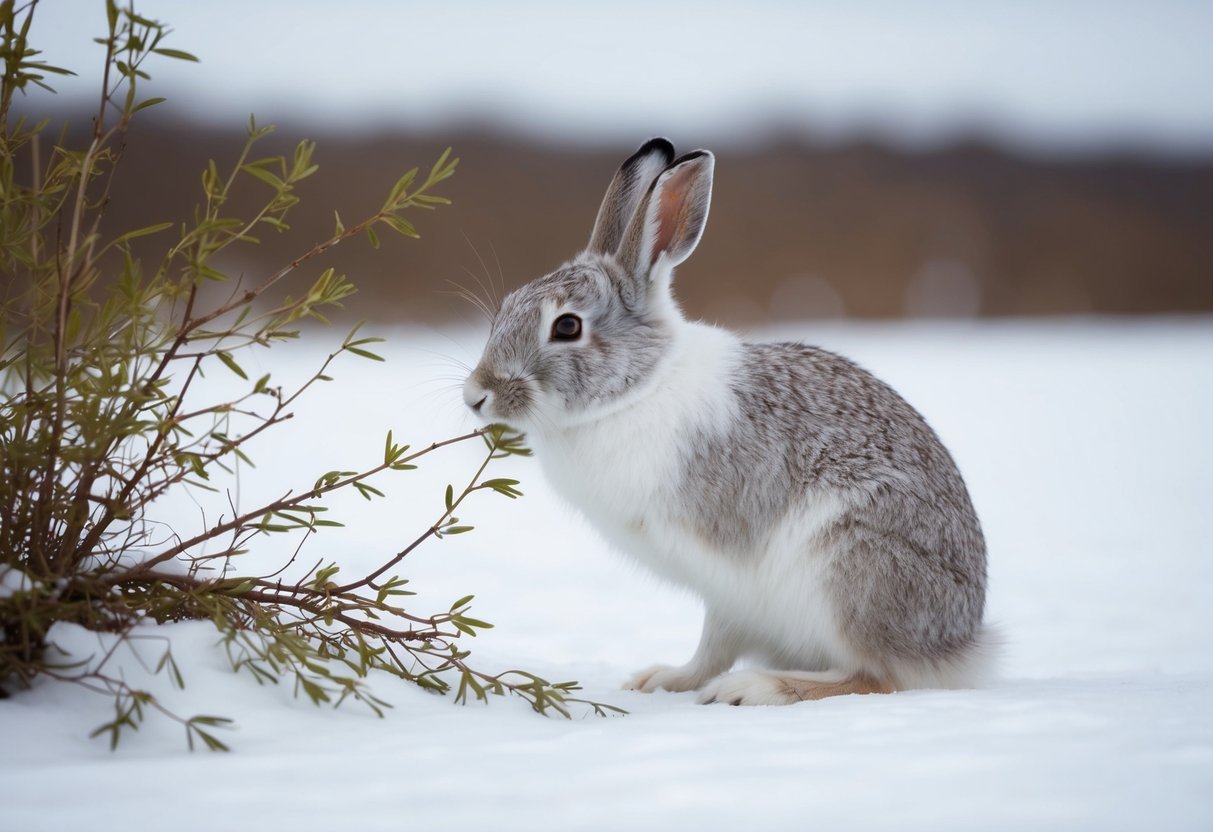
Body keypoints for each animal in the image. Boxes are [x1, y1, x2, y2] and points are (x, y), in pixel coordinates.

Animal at [462, 138, 993, 705]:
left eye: (566, 327)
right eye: (507, 306)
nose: (476, 396)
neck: (638, 387)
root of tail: (959, 645)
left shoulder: (726, 567)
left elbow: (720, 642)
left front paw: (695, 686)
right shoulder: (725, 596)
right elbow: (711, 648)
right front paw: (661, 681)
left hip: (847, 571)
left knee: (876, 678)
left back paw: (755, 688)